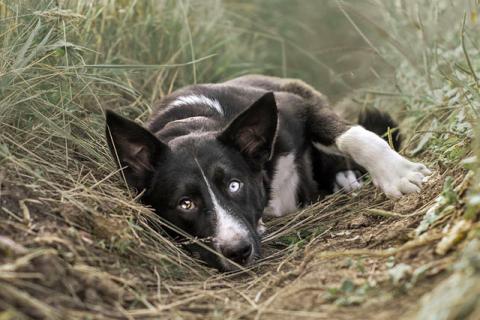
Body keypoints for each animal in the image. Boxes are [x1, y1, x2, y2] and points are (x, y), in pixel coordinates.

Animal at [106, 74, 432, 270]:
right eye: (185, 204)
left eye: (234, 185)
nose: (237, 251)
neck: (194, 122)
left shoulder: (300, 106)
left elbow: (352, 135)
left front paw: (397, 173)